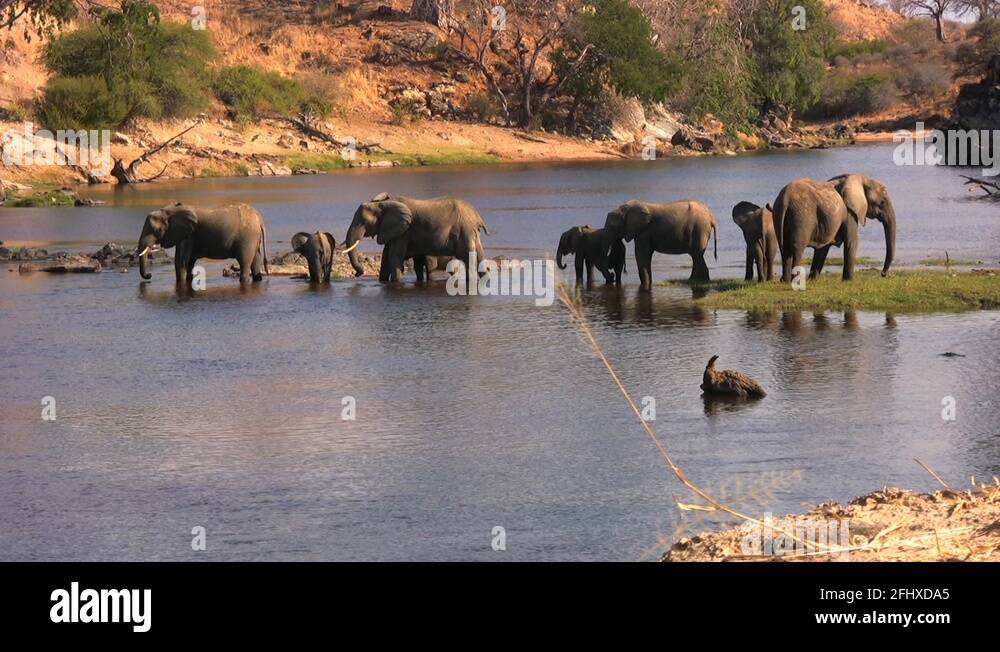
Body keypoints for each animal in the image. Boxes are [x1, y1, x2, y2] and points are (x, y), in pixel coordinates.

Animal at [138, 204, 270, 286]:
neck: (170, 210)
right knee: (255, 262)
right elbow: (189, 262)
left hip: (247, 239)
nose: (149, 275)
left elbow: (180, 262)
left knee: (244, 264)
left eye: (155, 230)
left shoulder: (188, 235)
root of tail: (260, 220)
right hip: (253, 239)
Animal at [772, 173, 900, 280]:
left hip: (778, 214)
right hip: (802, 217)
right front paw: (848, 281)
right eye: (882, 202)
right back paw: (796, 280)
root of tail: (785, 198)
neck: (862, 178)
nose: (883, 274)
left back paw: (785, 280)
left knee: (785, 250)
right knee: (797, 249)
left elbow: (822, 248)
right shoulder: (849, 212)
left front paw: (813, 280)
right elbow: (852, 242)